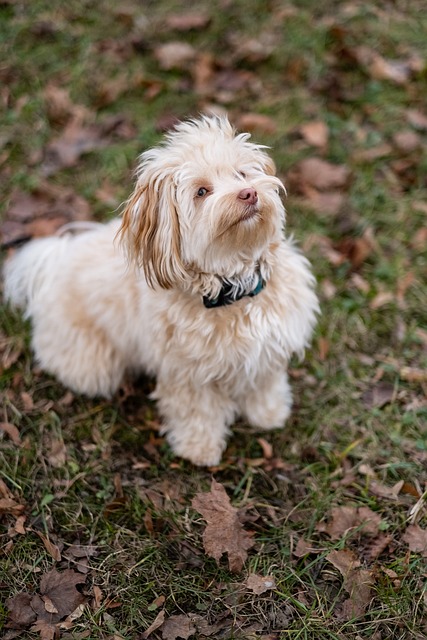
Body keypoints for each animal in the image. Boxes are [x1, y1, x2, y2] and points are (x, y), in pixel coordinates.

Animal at [2, 116, 318, 464]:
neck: (234, 289)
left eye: (242, 174)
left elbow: (264, 384)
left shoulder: (268, 350)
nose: (248, 193)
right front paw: (199, 449)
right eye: (201, 192)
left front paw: (269, 414)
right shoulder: (187, 374)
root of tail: (54, 265)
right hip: (94, 366)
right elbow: (196, 412)